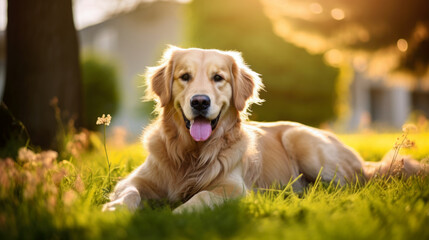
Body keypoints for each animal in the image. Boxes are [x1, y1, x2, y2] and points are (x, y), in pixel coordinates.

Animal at [102, 46, 426, 213]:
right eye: (185, 77)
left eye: (218, 78)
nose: (200, 101)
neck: (192, 154)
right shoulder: (134, 179)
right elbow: (130, 192)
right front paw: (115, 210)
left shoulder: (233, 187)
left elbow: (201, 197)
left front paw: (176, 215)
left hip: (304, 141)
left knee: (354, 186)